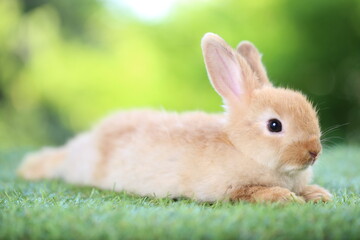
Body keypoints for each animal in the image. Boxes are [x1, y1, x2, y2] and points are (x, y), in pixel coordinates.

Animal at [16, 33, 332, 202]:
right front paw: (285, 198)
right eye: (274, 125)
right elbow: (253, 192)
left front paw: (319, 195)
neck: (243, 148)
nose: (314, 152)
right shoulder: (231, 189)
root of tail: (78, 149)